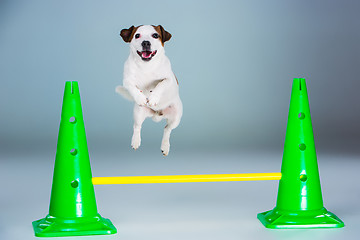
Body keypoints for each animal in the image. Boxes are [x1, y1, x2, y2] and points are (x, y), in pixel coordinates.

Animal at [116, 24, 183, 156]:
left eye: (155, 35)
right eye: (137, 35)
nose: (146, 42)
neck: (146, 66)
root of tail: (157, 114)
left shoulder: (169, 79)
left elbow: (161, 84)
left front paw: (153, 98)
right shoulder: (127, 80)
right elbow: (132, 87)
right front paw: (140, 97)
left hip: (176, 116)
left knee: (167, 129)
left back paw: (165, 146)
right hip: (138, 113)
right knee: (137, 127)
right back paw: (135, 141)